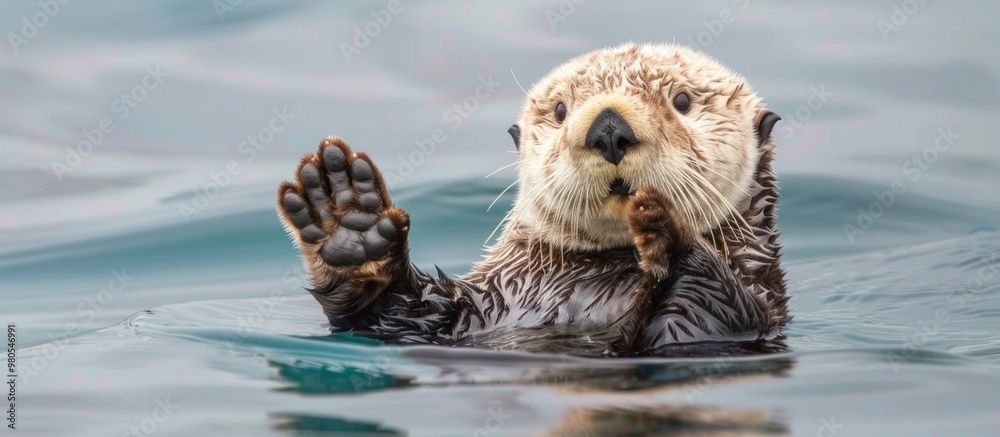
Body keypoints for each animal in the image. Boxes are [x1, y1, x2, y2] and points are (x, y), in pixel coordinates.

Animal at [276, 43, 789, 355]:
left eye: (682, 101)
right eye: (561, 111)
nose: (608, 127)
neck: (595, 274)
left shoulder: (751, 310)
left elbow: (698, 318)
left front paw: (666, 233)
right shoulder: (481, 307)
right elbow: (400, 315)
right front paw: (351, 226)